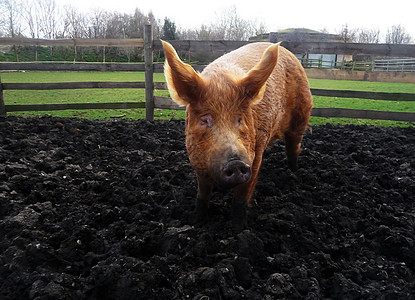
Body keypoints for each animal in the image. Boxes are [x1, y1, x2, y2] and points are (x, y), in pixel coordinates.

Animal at [162, 39, 312, 232]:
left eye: (240, 119)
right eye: (205, 120)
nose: (236, 163)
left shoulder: (254, 155)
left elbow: (241, 196)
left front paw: (238, 230)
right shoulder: (197, 158)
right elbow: (203, 193)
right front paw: (198, 221)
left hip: (301, 115)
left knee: (293, 147)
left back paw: (293, 173)